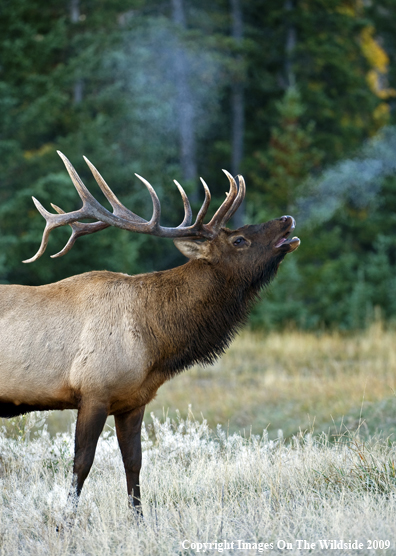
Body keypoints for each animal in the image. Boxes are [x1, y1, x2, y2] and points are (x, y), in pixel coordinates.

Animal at [0, 151, 298, 512]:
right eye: (239, 239)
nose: (287, 218)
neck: (154, 344)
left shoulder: (133, 401)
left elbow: (134, 463)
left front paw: (139, 519)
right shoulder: (94, 390)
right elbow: (81, 464)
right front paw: (66, 520)